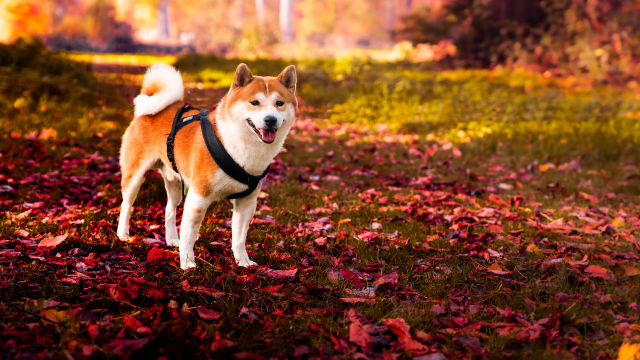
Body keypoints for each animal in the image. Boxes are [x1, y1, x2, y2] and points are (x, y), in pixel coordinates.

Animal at [117, 62, 298, 268]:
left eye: (279, 103)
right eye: (254, 102)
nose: (270, 119)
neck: (240, 145)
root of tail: (147, 112)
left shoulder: (247, 202)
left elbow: (239, 238)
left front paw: (243, 262)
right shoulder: (199, 197)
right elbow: (190, 236)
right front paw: (187, 263)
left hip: (175, 184)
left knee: (169, 210)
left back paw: (171, 240)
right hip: (134, 176)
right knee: (126, 205)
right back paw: (123, 234)